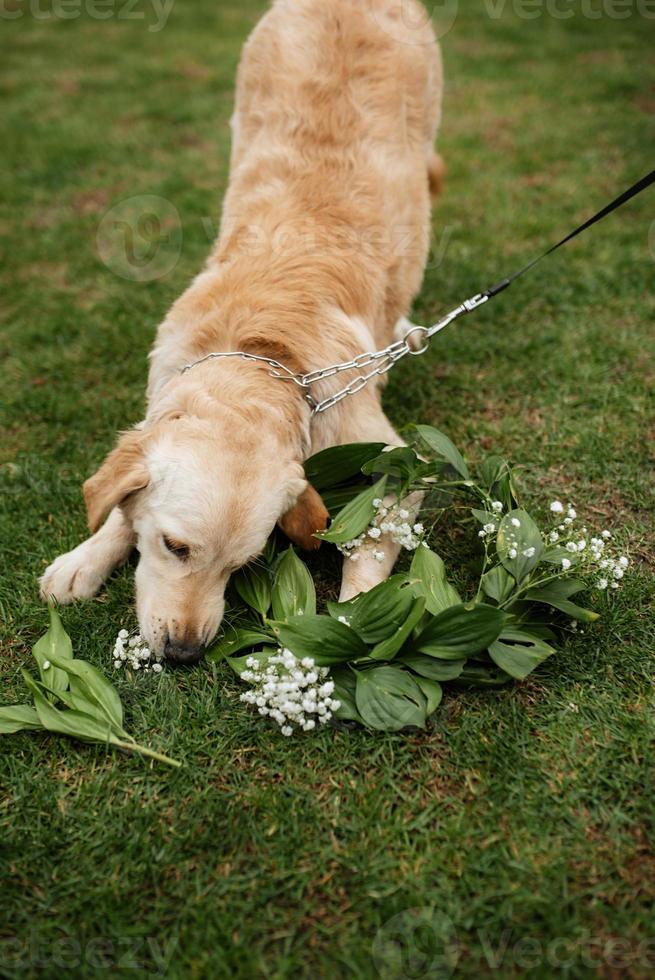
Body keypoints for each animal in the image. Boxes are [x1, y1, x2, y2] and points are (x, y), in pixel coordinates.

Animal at [38, 0, 444, 664]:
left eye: (244, 563)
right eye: (175, 547)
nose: (184, 653)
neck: (261, 354)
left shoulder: (398, 462)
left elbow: (370, 551)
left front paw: (351, 630)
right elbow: (121, 506)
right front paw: (86, 559)